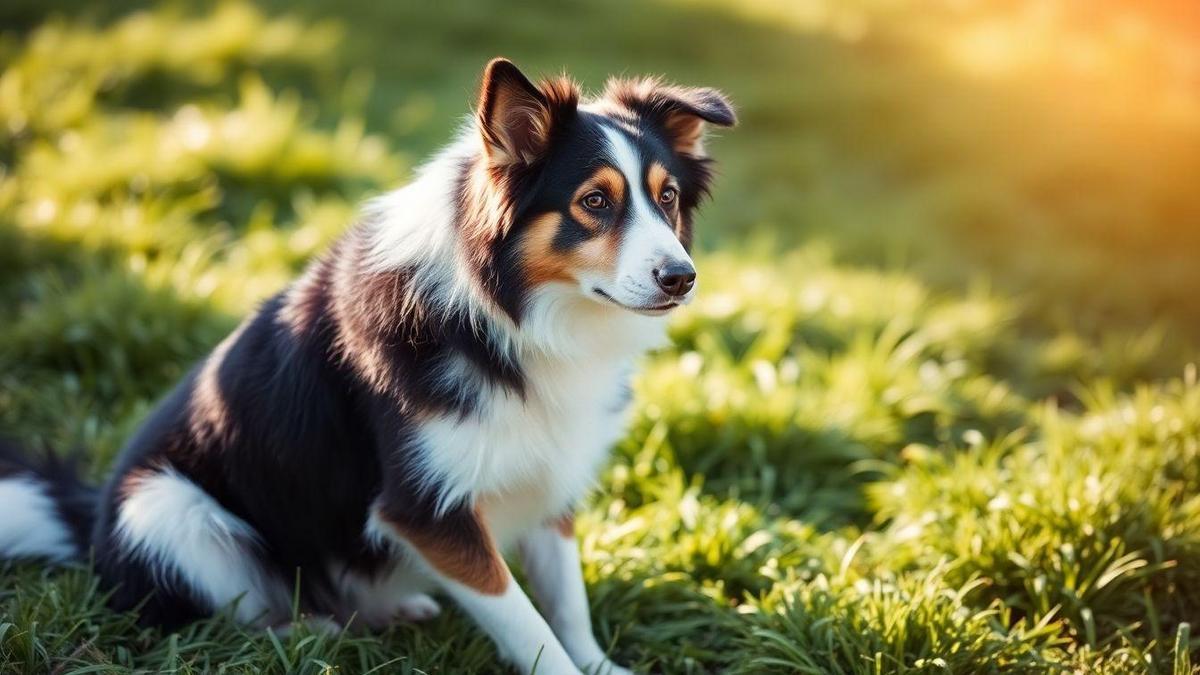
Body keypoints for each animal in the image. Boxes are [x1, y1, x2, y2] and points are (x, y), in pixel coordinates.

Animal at [0, 59, 729, 672]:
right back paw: (313, 630)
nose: (682, 278)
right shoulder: (423, 506)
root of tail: (91, 526)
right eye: (594, 201)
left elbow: (566, 601)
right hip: (169, 512)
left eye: (666, 197)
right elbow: (526, 622)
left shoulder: (549, 467)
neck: (509, 315)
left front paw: (603, 665)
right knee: (223, 616)